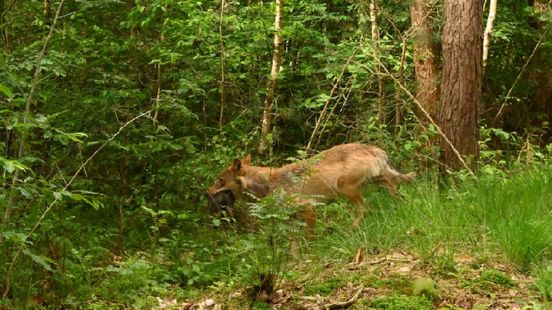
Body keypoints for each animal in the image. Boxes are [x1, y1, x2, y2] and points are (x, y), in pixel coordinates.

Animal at [206, 144, 414, 239]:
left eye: (219, 180)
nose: (206, 192)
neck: (268, 185)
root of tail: (374, 148)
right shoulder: (292, 219)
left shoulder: (308, 208)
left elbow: (310, 237)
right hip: (373, 180)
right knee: (392, 184)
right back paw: (399, 204)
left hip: (345, 187)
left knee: (365, 209)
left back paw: (348, 231)